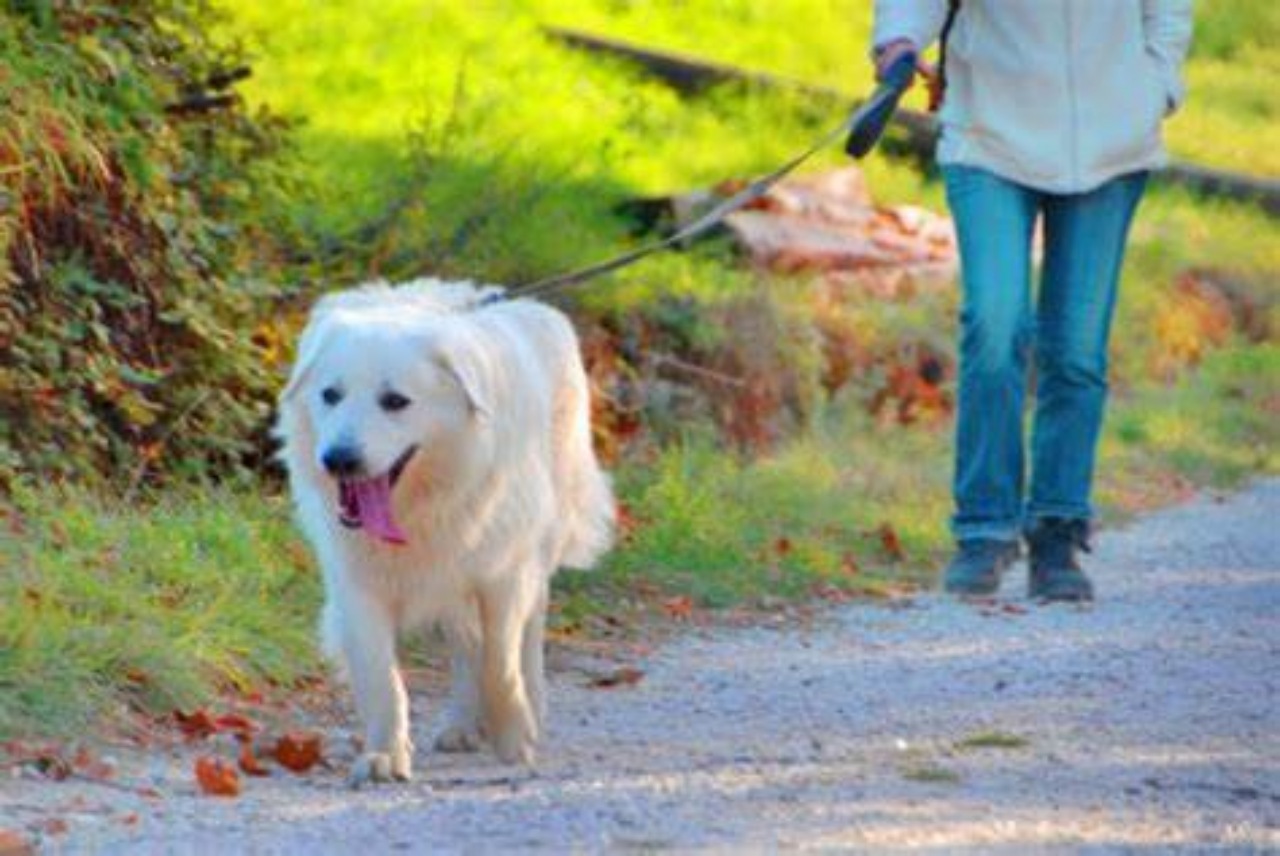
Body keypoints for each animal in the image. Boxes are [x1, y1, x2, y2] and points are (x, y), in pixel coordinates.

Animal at [277, 278, 616, 783]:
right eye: (330, 395)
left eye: (395, 402)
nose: (338, 460)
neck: (419, 505)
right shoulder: (359, 586)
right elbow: (383, 679)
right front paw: (384, 756)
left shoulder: (502, 574)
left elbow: (500, 662)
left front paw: (513, 739)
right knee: (465, 644)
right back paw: (461, 724)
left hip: (532, 552)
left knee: (527, 634)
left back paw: (530, 708)